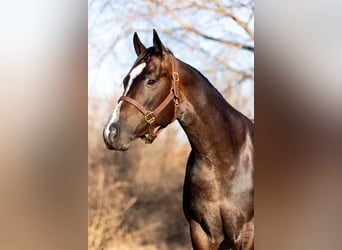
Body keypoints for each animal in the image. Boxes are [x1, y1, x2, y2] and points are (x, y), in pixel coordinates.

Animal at [103, 30, 254, 249]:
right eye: (125, 81)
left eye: (151, 81)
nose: (110, 132)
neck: (224, 161)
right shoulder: (200, 233)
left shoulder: (247, 234)